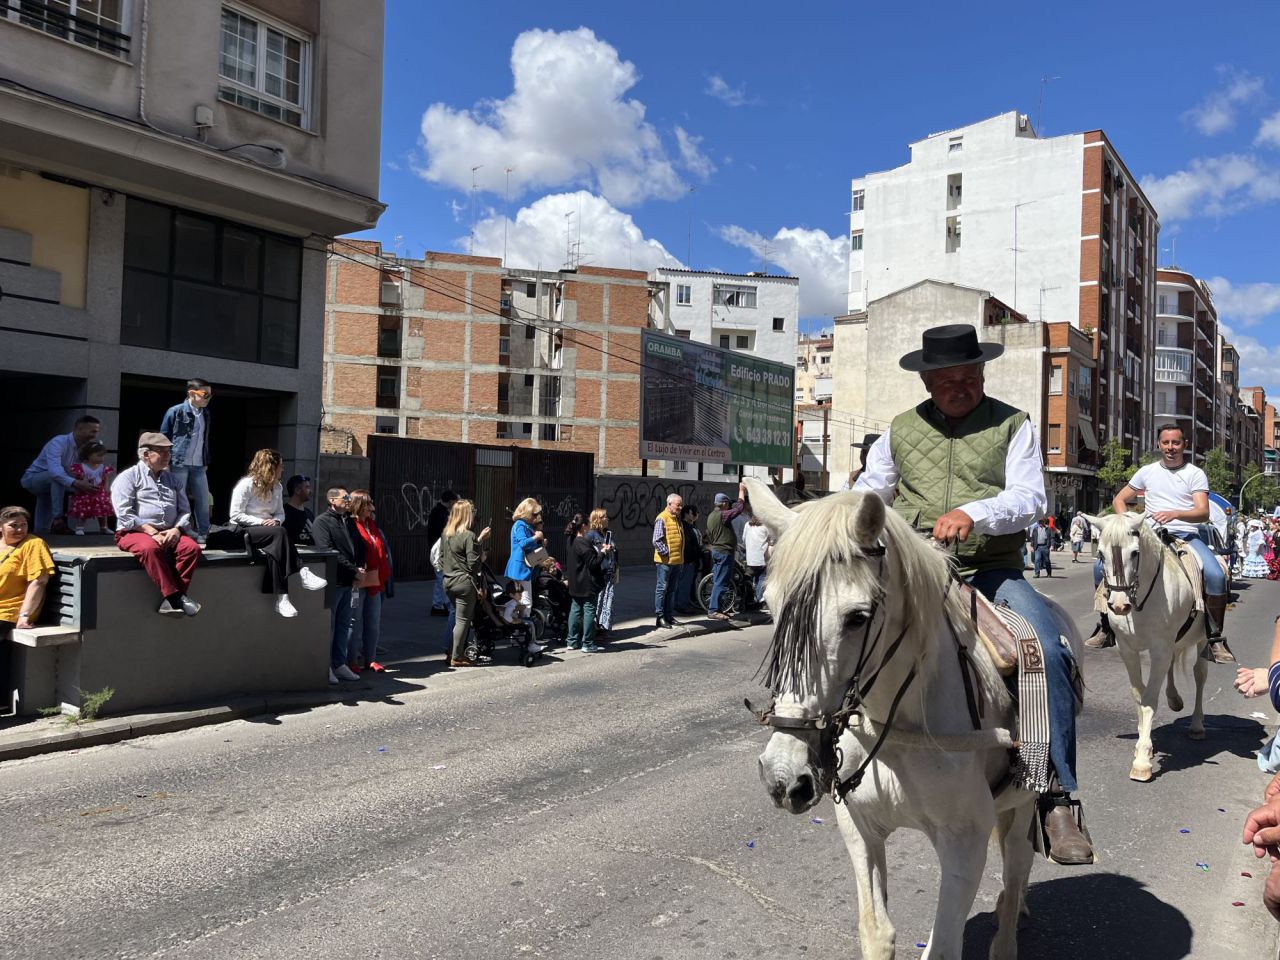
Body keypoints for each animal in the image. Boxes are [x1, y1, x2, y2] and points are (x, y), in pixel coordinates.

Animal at [747, 478, 1080, 960]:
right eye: (771, 607)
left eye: (857, 617)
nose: (784, 778)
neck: (901, 726)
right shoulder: (860, 830)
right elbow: (876, 931)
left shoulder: (964, 843)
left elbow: (941, 947)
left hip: (1022, 803)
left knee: (1017, 864)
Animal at [1085, 512, 1203, 783]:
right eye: (1101, 554)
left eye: (1135, 553)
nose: (1119, 605)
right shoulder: (1127, 648)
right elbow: (1138, 695)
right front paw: (1142, 742)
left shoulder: (1160, 648)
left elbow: (1149, 699)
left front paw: (1142, 761)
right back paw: (1174, 699)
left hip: (1203, 641)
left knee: (1200, 676)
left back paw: (1197, 725)